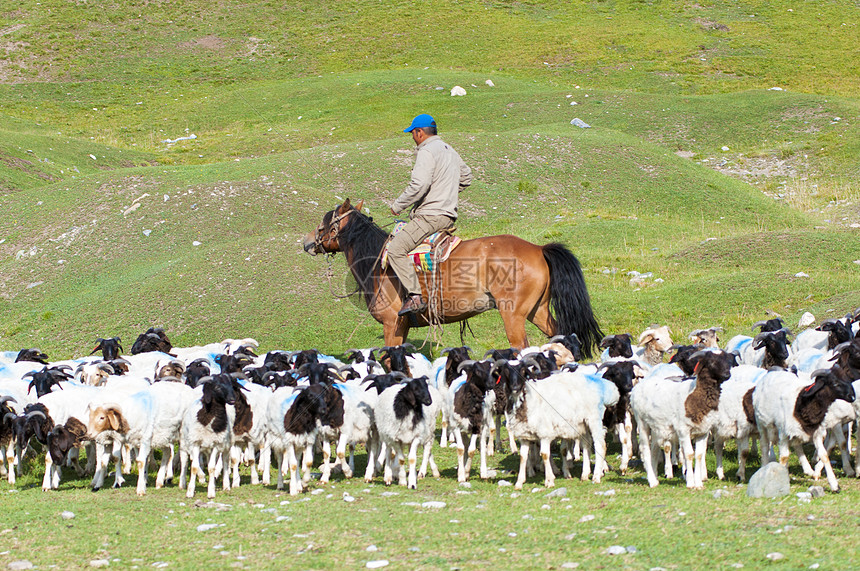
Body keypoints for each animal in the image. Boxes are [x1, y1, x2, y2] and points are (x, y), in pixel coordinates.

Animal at [302, 199, 604, 356]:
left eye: (325, 222)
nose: (307, 242)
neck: (379, 262)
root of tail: (539, 248)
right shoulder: (402, 327)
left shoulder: (391, 324)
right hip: (537, 311)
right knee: (560, 336)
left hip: (514, 315)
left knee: (521, 348)